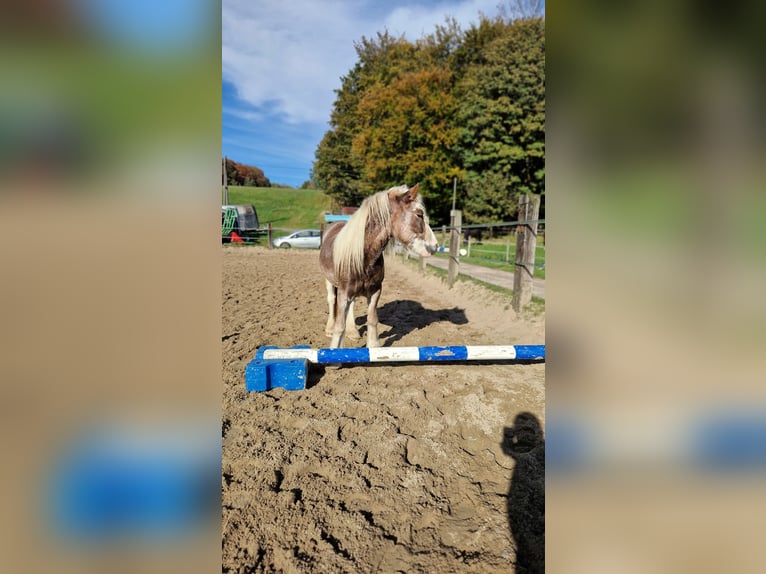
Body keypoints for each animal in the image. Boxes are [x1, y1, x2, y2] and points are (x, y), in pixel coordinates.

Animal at [318, 184, 438, 348]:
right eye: (419, 215)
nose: (435, 246)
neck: (365, 258)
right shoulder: (343, 292)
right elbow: (339, 325)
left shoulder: (375, 291)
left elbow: (372, 319)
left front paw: (373, 345)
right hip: (329, 281)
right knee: (331, 300)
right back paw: (329, 329)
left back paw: (353, 332)